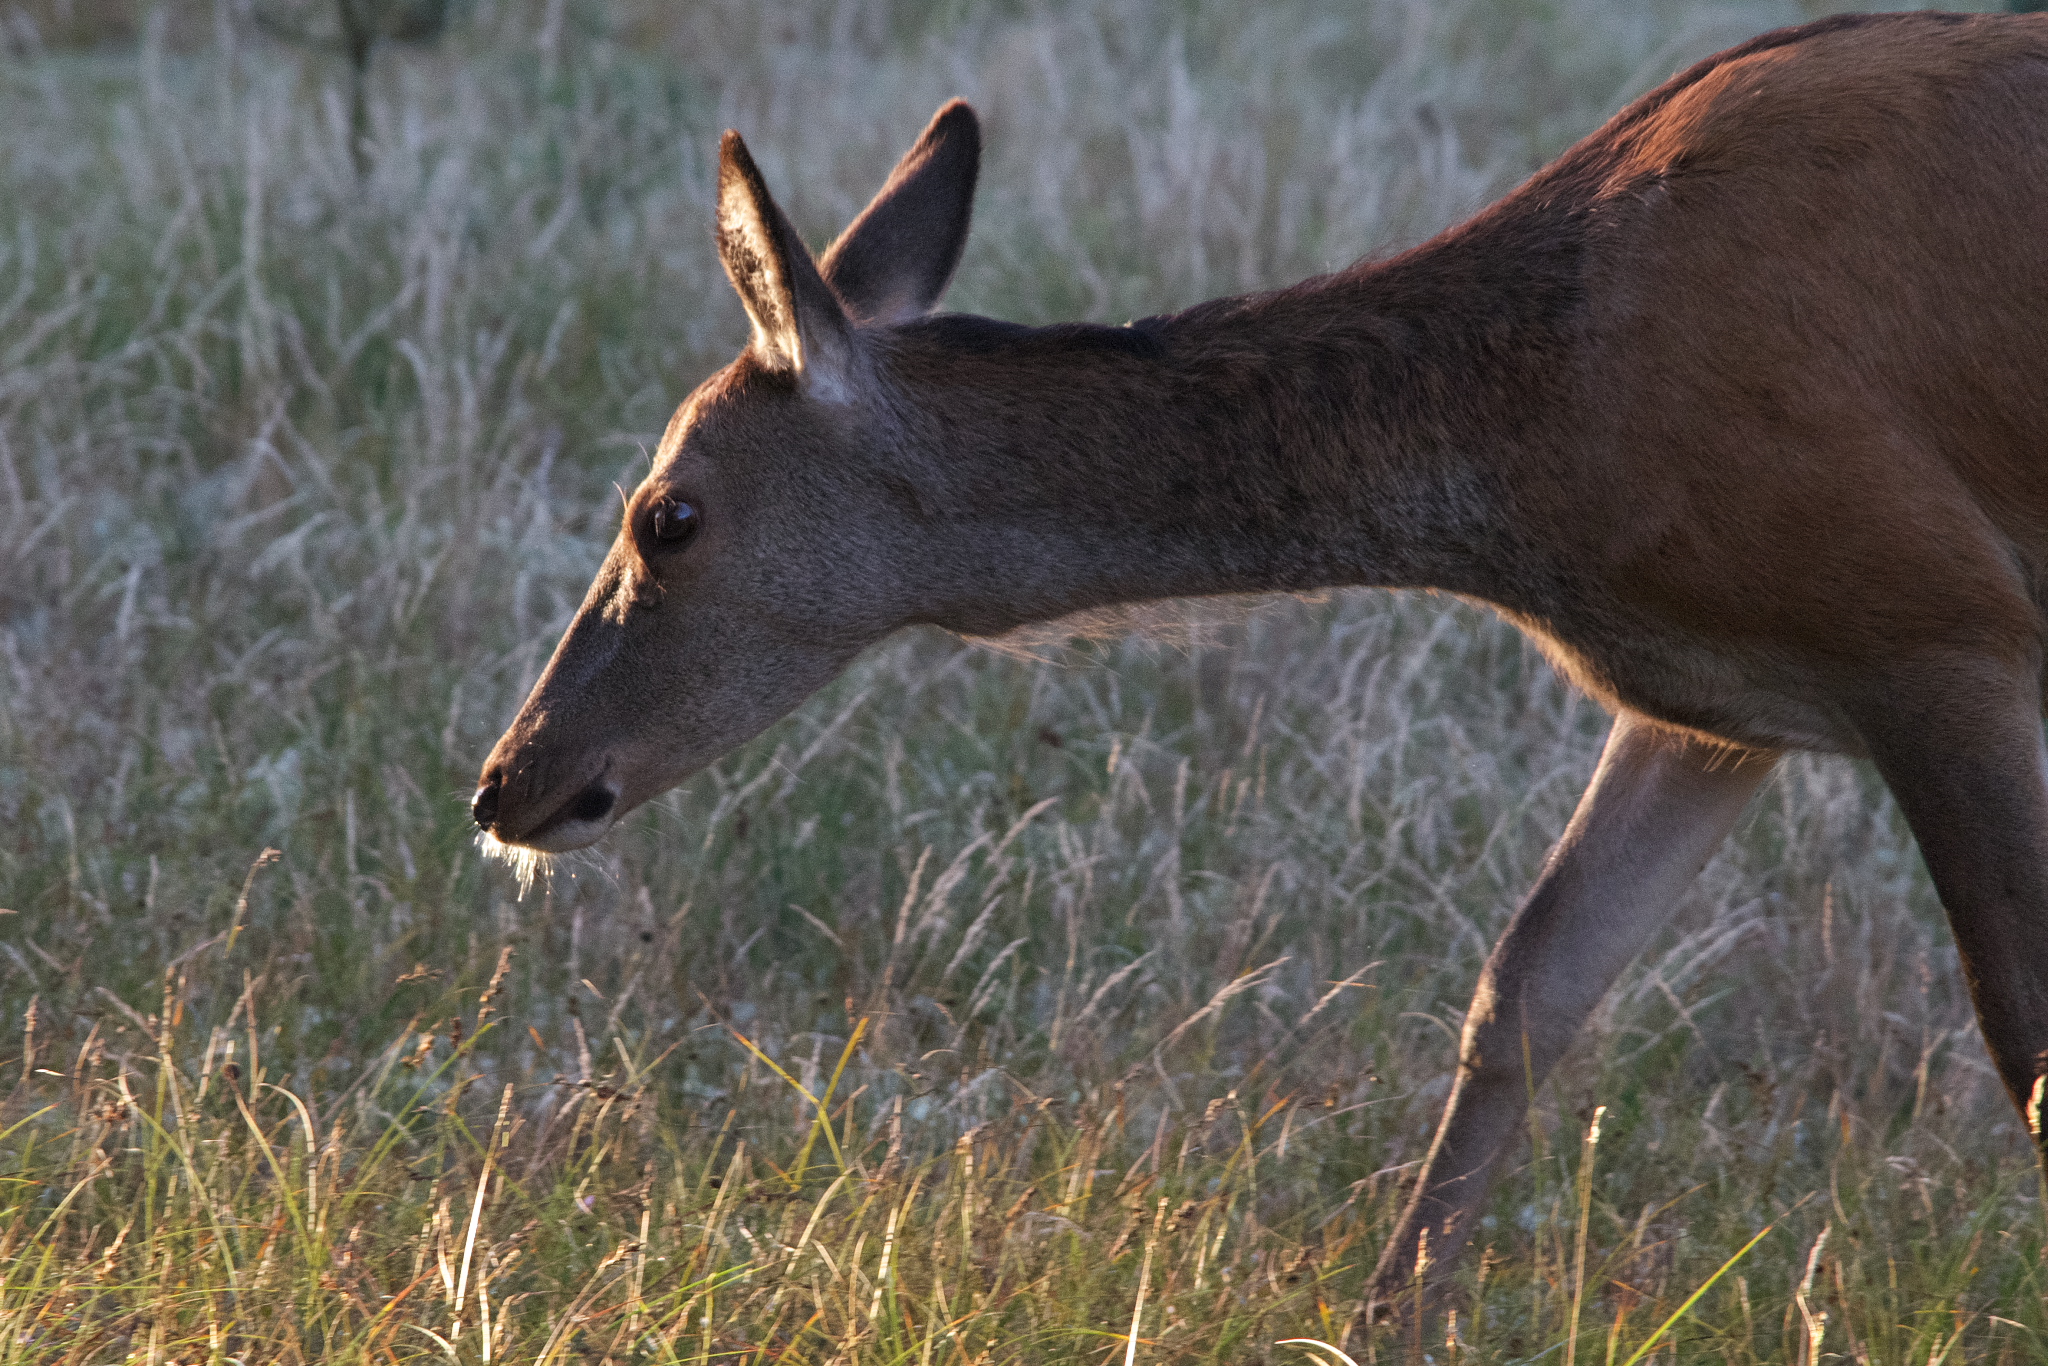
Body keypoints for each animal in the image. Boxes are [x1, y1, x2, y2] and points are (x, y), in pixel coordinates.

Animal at [471, 7, 2048, 1310]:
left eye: (666, 516)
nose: (506, 781)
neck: (1539, 441)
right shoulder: (1715, 699)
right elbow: (1524, 990)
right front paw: (1380, 1325)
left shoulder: (1931, 613)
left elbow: (2024, 1043)